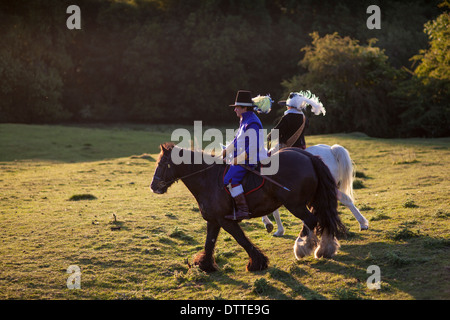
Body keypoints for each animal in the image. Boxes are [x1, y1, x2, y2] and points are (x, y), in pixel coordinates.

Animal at [151, 142, 344, 272]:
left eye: (161, 164)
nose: (153, 186)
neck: (207, 179)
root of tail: (307, 156)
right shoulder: (213, 220)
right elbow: (209, 242)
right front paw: (204, 264)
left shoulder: (226, 220)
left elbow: (241, 240)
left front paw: (257, 262)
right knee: (324, 220)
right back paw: (325, 249)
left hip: (295, 205)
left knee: (311, 220)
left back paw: (302, 248)